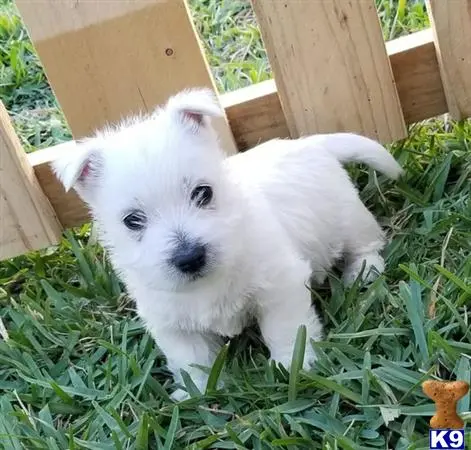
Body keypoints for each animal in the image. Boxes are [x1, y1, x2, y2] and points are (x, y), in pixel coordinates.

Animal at [54, 88, 402, 400]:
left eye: (203, 193)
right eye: (132, 220)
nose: (190, 257)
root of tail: (312, 143)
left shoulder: (280, 288)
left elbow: (286, 329)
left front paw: (292, 366)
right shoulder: (173, 325)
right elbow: (191, 360)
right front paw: (197, 392)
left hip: (349, 218)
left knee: (367, 244)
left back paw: (363, 272)